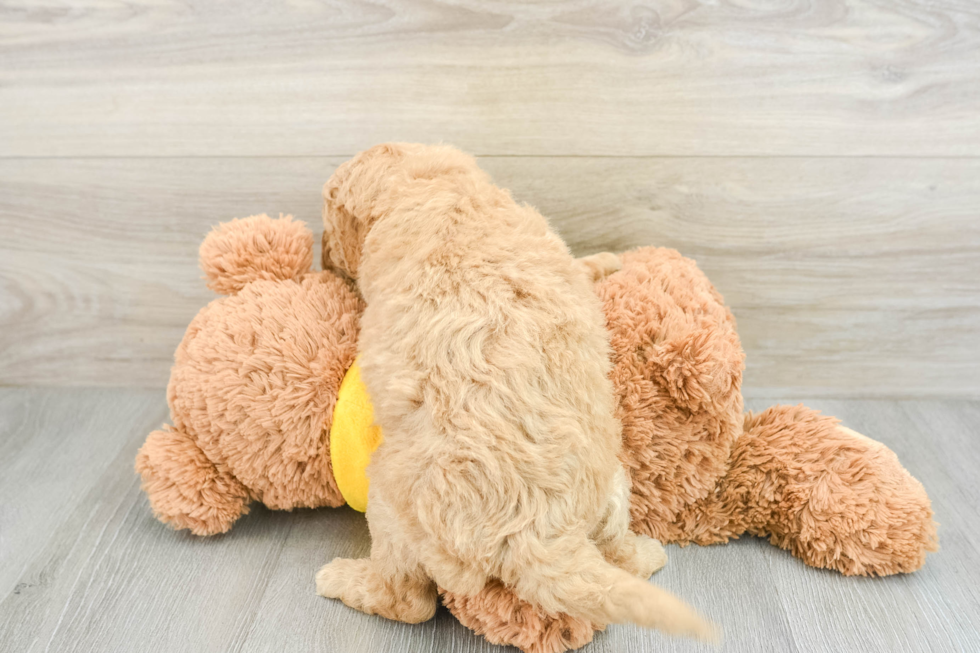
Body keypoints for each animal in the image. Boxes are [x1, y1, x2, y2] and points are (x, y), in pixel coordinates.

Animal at [318, 144, 716, 640]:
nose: (322, 259)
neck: (441, 188)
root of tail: (538, 536)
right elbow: (579, 265)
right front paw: (608, 259)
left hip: (391, 502)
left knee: (408, 600)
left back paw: (340, 579)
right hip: (613, 482)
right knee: (614, 547)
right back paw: (646, 554)